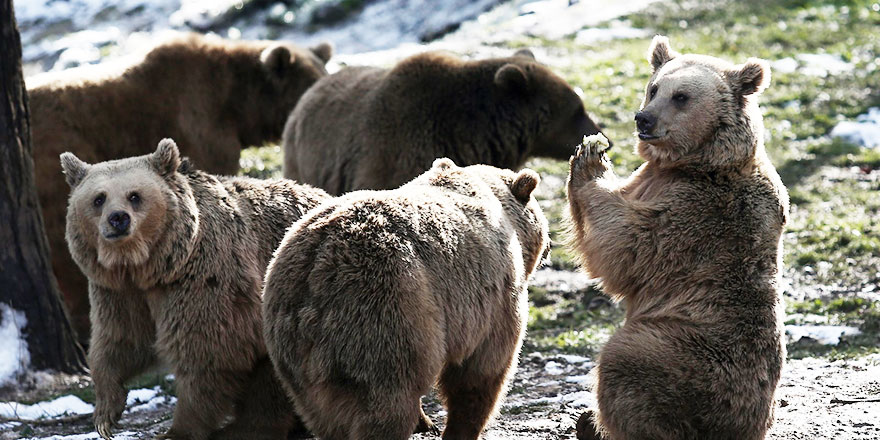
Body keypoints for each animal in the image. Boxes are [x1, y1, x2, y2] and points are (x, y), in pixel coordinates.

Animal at [62, 140, 328, 440]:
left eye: (134, 196)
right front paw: (105, 414)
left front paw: (178, 429)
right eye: (99, 198)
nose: (118, 219)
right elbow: (120, 339)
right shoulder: (118, 292)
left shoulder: (204, 277)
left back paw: (247, 427)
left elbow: (206, 352)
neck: (148, 266)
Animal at [262, 158, 552, 440]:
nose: (550, 246)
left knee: (326, 415)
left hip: (292, 353)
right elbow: (482, 370)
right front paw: (460, 429)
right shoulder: (495, 293)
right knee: (387, 402)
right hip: (384, 313)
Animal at [572, 35, 792, 440]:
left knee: (626, 363)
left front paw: (590, 159)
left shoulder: (694, 214)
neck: (695, 162)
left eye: (682, 96)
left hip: (686, 351)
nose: (644, 118)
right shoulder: (653, 179)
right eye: (654, 88)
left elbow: (624, 245)